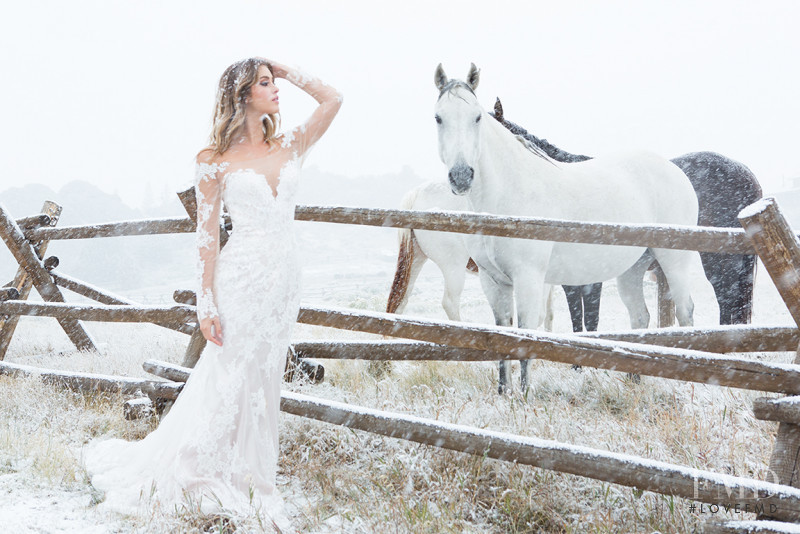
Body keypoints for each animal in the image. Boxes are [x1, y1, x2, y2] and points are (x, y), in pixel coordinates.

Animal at [434, 65, 704, 396]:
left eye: (477, 118)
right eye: (438, 118)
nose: (461, 176)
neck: (508, 194)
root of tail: (674, 170)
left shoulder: (529, 278)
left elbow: (525, 333)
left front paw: (524, 396)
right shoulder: (493, 280)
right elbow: (501, 334)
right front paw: (503, 393)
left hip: (674, 259)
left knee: (685, 312)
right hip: (632, 268)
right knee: (640, 316)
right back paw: (634, 381)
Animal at [490, 98, 760, 328]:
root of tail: (746, 173)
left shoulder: (591, 281)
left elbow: (590, 320)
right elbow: (577, 321)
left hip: (718, 261)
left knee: (727, 301)